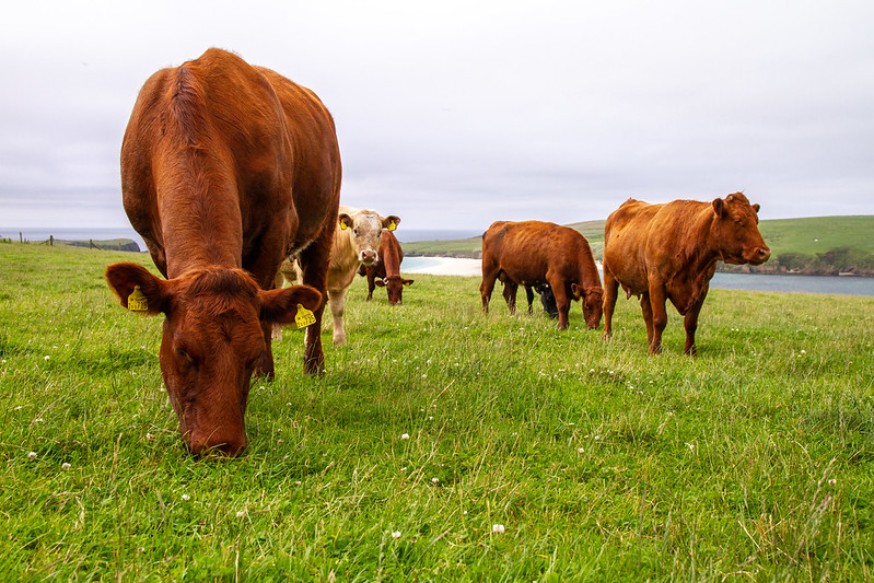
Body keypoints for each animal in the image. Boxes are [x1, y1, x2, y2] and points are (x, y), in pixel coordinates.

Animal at [99, 48, 338, 454]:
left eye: (251, 354)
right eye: (182, 350)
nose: (221, 446)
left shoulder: (277, 226)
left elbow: (266, 311)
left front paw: (264, 374)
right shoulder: (154, 242)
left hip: (325, 222)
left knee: (316, 301)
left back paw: (313, 367)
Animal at [600, 194, 768, 354]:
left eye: (756, 221)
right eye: (738, 220)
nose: (764, 252)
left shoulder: (702, 287)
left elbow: (690, 323)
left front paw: (690, 351)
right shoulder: (657, 281)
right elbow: (660, 319)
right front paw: (656, 350)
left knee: (646, 310)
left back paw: (650, 341)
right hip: (609, 273)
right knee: (609, 304)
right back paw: (608, 336)